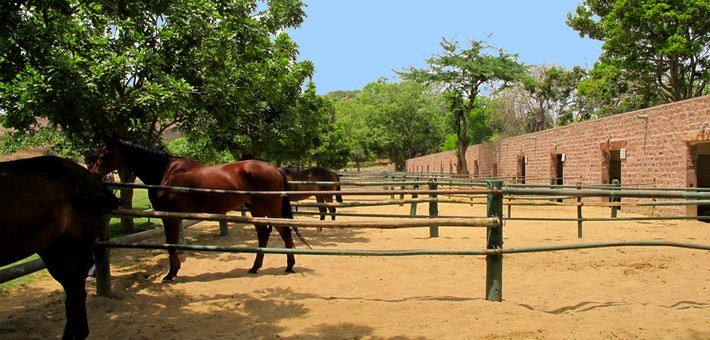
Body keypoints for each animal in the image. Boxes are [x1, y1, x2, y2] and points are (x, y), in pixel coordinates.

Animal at [89, 138, 308, 282]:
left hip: (270, 209)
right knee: (264, 233)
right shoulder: (171, 216)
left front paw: (171, 273)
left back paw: (289, 265)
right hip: (255, 209)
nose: (93, 173)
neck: (165, 173)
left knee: (284, 231)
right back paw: (255, 267)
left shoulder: (171, 216)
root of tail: (276, 168)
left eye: (105, 154)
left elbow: (171, 243)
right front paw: (174, 270)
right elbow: (171, 243)